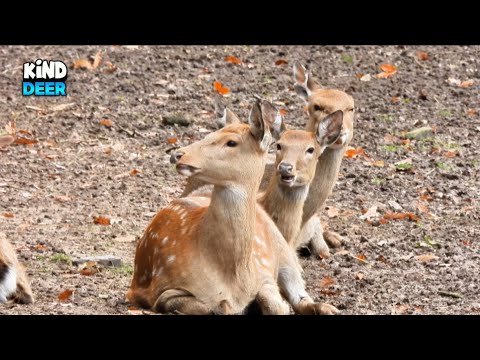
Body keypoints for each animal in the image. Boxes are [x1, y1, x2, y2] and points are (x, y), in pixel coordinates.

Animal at [126, 101, 338, 316]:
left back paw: (329, 307)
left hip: (284, 252)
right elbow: (216, 306)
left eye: (231, 142)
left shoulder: (263, 273)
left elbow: (275, 303)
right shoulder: (159, 291)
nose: (177, 154)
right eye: (210, 134)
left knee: (301, 295)